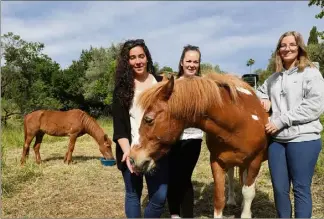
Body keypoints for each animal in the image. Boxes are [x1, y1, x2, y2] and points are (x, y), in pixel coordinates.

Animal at [128, 73, 270, 217]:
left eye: (148, 120)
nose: (133, 159)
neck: (239, 123)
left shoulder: (255, 162)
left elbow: (248, 193)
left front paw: (246, 212)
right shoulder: (217, 161)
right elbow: (219, 198)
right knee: (232, 176)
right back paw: (232, 201)